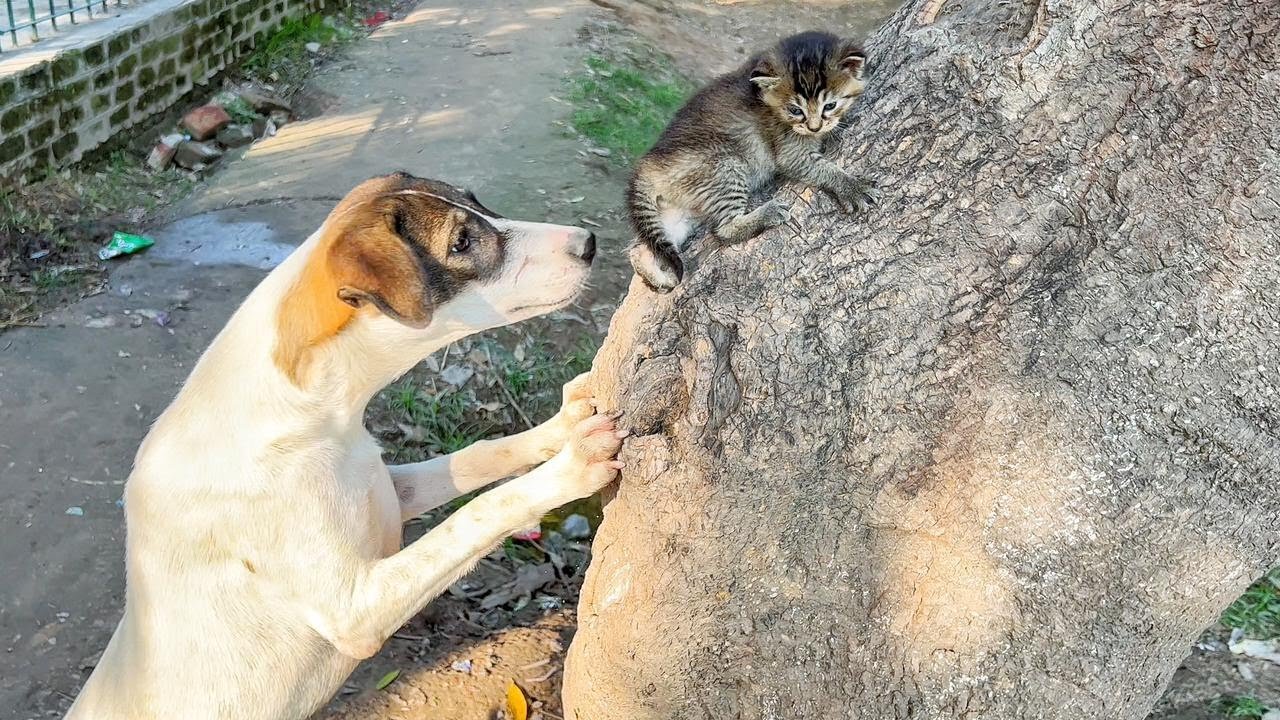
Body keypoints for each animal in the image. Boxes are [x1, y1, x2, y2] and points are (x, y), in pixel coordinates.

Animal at [64, 170, 624, 712]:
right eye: (461, 242)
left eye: (476, 201)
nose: (589, 242)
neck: (312, 411)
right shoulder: (356, 609)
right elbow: (480, 511)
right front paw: (570, 465)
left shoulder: (388, 491)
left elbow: (479, 456)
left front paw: (557, 428)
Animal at [624, 30, 875, 288]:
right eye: (795, 110)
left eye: (830, 105)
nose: (814, 128)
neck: (767, 101)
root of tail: (646, 167)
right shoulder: (790, 151)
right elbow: (821, 167)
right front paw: (850, 186)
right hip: (725, 166)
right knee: (723, 229)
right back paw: (767, 214)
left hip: (679, 210)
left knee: (640, 248)